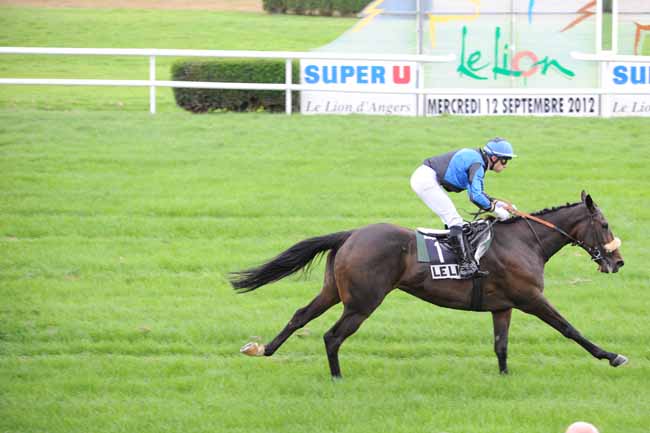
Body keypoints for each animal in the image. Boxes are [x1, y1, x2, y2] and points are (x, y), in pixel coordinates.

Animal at [228, 191, 624, 376]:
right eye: (604, 225)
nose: (618, 261)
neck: (525, 242)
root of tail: (350, 234)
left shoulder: (503, 306)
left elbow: (501, 346)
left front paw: (505, 377)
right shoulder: (531, 298)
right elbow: (570, 329)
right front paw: (612, 356)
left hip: (334, 291)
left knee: (300, 315)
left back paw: (264, 349)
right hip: (363, 301)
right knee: (332, 336)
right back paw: (337, 378)